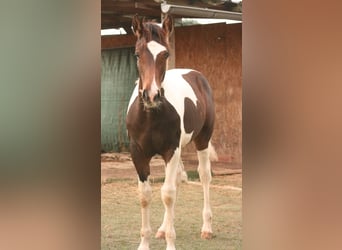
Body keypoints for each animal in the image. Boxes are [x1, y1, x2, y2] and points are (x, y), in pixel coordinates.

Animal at [125, 14, 216, 250]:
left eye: (165, 54)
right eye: (137, 53)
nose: (151, 95)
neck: (151, 116)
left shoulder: (170, 150)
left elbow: (167, 194)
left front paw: (170, 243)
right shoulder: (138, 153)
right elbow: (145, 195)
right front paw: (145, 243)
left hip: (202, 140)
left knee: (204, 176)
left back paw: (207, 228)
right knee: (175, 180)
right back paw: (162, 229)